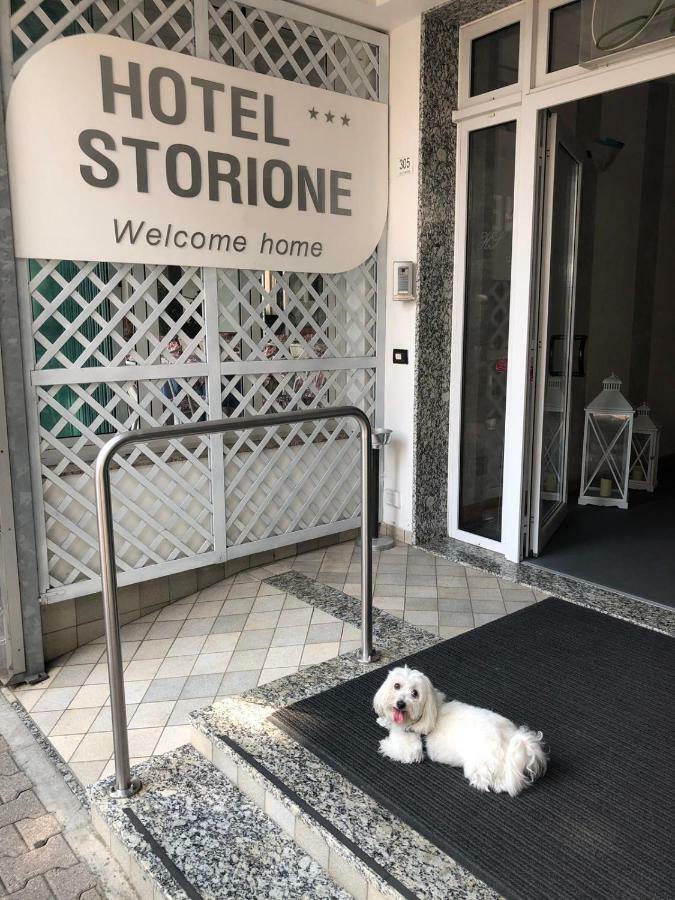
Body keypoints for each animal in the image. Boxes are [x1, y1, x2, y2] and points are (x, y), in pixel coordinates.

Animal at [374, 660, 548, 796]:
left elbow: (393, 748)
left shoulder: (410, 750)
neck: (431, 711)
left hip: (479, 764)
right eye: (396, 685)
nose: (400, 703)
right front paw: (383, 720)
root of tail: (510, 739)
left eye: (415, 693)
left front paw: (385, 743)